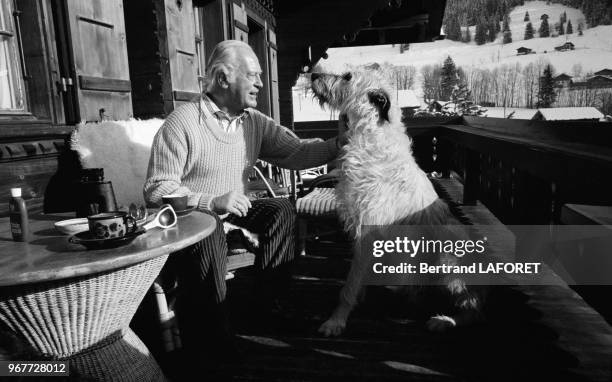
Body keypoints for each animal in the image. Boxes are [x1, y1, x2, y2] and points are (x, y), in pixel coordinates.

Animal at [314, 70, 480, 336]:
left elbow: (349, 286)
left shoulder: (368, 231)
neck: (370, 136)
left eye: (348, 76)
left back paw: (445, 320)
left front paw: (336, 320)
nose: (313, 74)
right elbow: (358, 277)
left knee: (473, 307)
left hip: (449, 251)